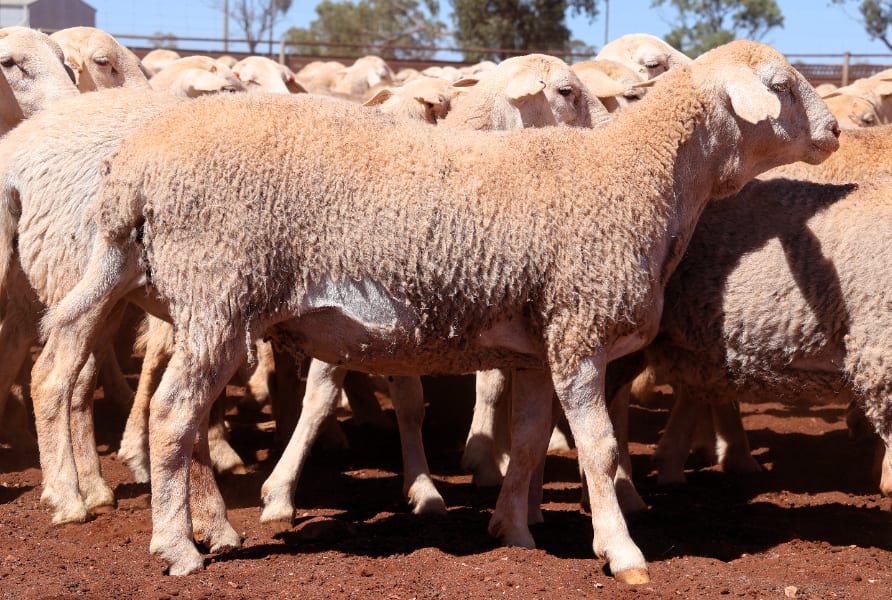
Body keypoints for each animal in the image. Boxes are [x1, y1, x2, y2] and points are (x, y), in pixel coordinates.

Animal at [31, 40, 839, 581]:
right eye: (780, 83)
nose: (833, 133)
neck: (639, 176)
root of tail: (134, 166)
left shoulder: (538, 345)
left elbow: (529, 438)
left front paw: (513, 531)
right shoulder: (579, 327)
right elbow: (601, 451)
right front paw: (623, 553)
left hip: (147, 280)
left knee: (85, 369)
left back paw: (186, 522)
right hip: (215, 291)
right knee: (172, 415)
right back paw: (178, 548)